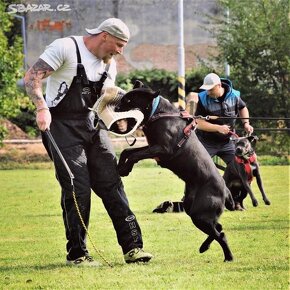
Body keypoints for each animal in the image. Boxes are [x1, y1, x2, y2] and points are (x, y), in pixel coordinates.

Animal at [115, 82, 236, 262]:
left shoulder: (163, 149)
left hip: (200, 215)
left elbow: (134, 155)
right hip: (193, 209)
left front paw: (124, 169)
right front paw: (121, 167)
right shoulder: (152, 146)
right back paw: (204, 247)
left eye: (129, 100)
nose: (115, 108)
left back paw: (227, 256)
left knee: (220, 234)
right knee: (218, 227)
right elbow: (127, 151)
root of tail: (226, 190)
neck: (158, 113)